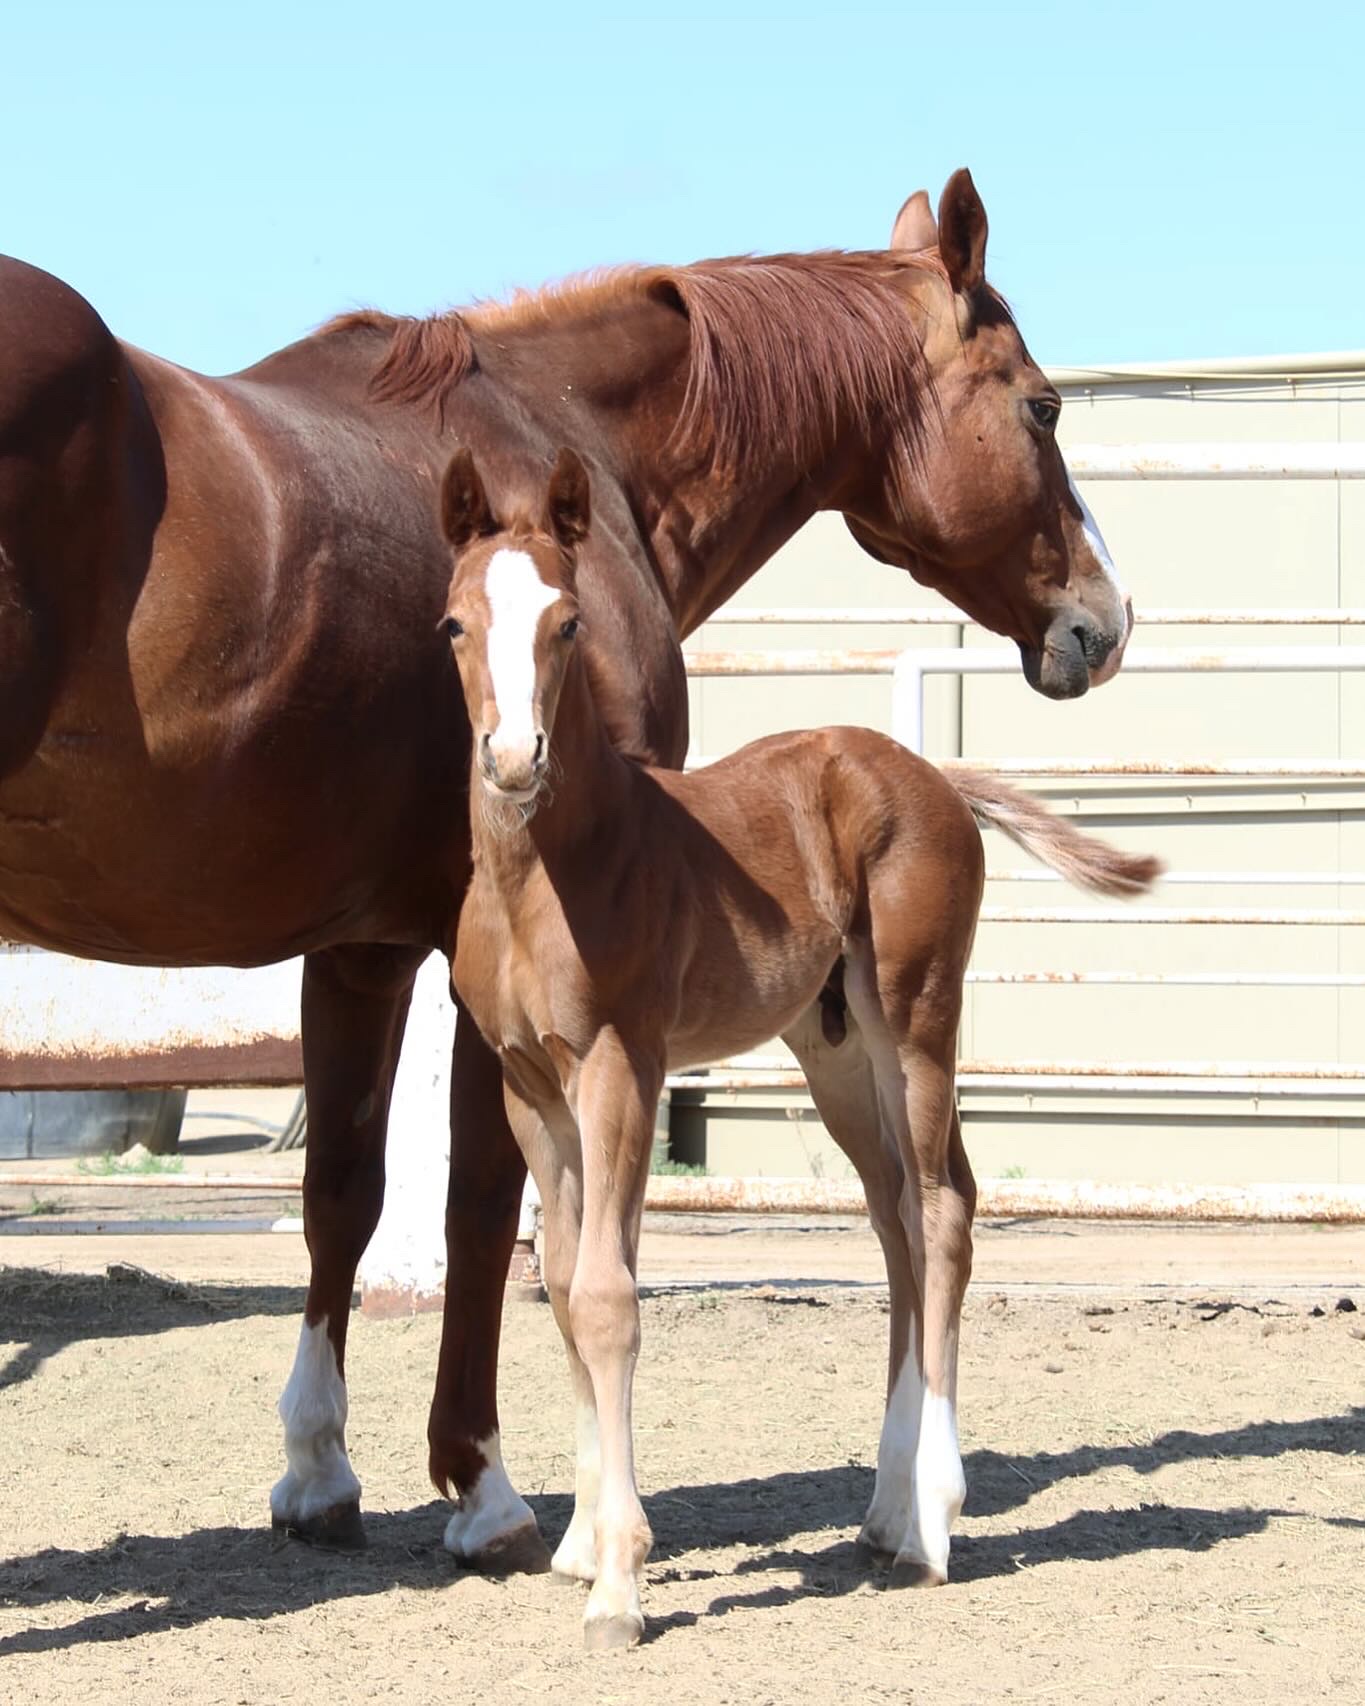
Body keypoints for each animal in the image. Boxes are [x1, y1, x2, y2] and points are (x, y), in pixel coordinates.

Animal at [0, 169, 1133, 1563]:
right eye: (1043, 404)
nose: (1102, 621)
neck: (567, 436)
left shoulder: (367, 944)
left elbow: (345, 1194)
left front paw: (322, 1470)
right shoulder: (494, 963)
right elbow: (490, 1204)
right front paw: (483, 1485)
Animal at [439, 446, 1156, 1648]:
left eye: (570, 622)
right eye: (453, 622)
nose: (512, 758)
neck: (551, 870)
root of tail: (934, 778)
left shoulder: (622, 1066)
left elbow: (608, 1295)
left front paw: (619, 1584)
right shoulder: (528, 1085)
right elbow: (562, 1279)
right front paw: (580, 1538)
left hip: (914, 1018)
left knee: (942, 1213)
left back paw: (930, 1524)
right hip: (836, 1056)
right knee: (899, 1218)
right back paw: (883, 1509)